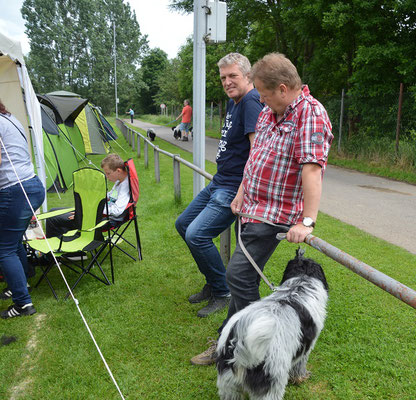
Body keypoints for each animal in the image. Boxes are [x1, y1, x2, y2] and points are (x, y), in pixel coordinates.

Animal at [214, 248, 328, 398]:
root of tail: (239, 344)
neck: (300, 285)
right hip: (272, 382)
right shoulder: (305, 348)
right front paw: (300, 378)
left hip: (228, 385)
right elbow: (299, 366)